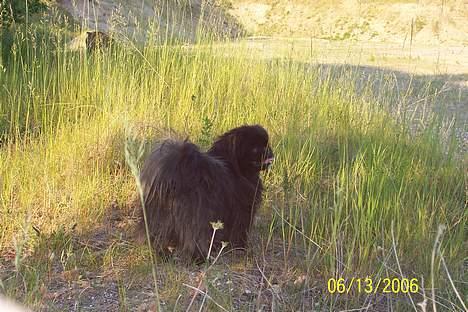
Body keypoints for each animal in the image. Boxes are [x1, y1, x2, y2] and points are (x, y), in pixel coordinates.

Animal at [137, 125, 272, 260]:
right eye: (255, 149)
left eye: (266, 144)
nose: (269, 151)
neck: (234, 167)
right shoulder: (243, 212)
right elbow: (239, 234)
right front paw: (240, 249)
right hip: (197, 219)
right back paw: (199, 258)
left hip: (160, 219)